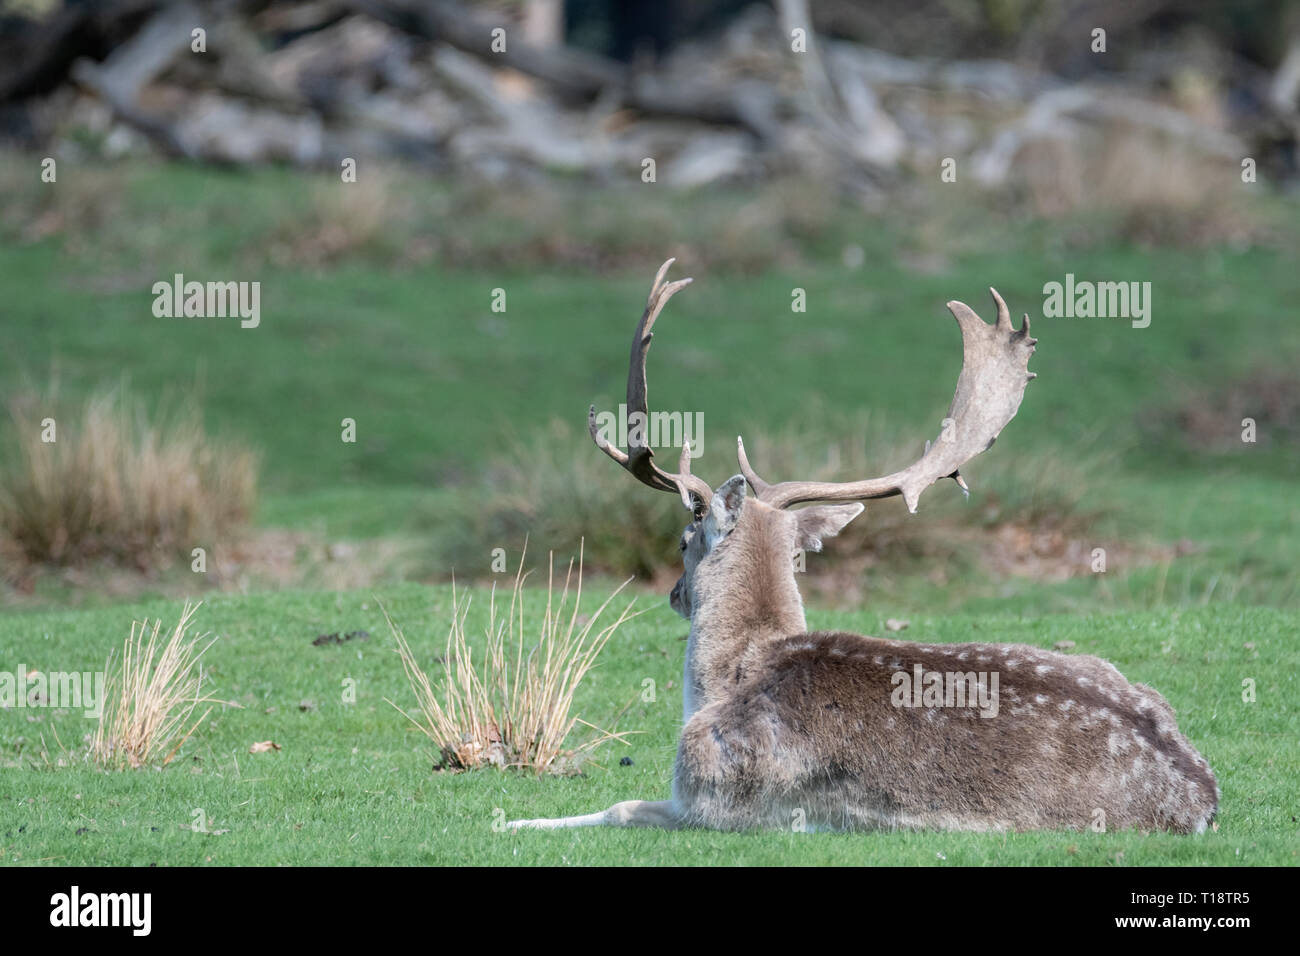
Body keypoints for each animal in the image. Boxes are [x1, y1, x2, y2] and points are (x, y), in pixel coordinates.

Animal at [508, 260, 1219, 834]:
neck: (727, 678)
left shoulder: (711, 796)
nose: (676, 594)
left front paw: (518, 821)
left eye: (684, 538)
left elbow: (619, 806)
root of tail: (1203, 797)